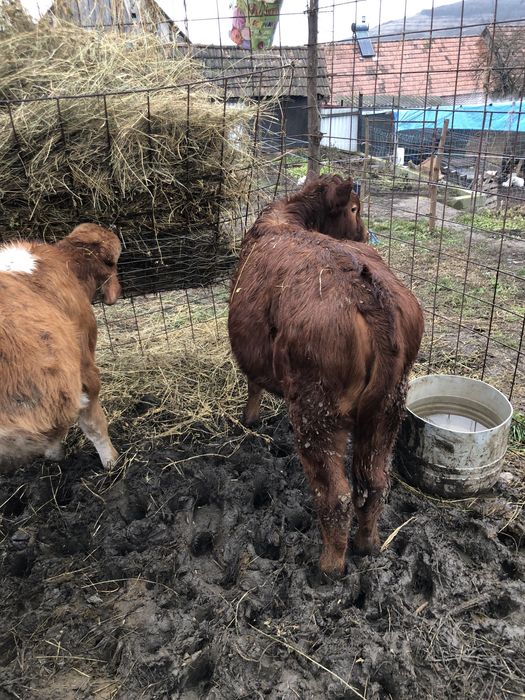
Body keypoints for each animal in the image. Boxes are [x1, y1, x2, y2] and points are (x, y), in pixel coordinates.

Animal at [228, 175, 424, 575]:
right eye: (355, 209)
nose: (363, 233)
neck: (286, 217)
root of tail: (365, 291)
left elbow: (253, 383)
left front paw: (248, 419)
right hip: (388, 407)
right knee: (374, 483)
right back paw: (368, 545)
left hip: (316, 410)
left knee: (336, 496)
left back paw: (329, 565)